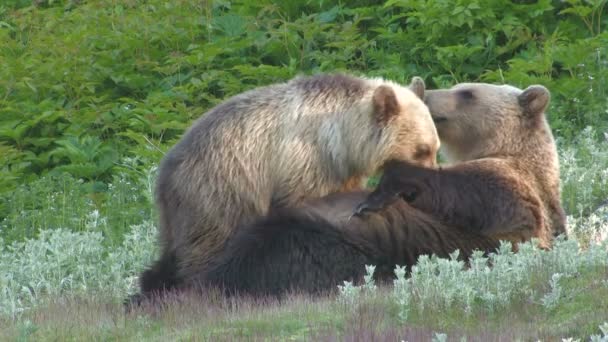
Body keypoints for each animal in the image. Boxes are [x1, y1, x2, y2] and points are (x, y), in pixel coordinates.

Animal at [140, 73, 440, 296]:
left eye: (435, 148)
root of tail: (165, 173)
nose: (431, 180)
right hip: (220, 191)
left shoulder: (341, 173)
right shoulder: (305, 163)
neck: (342, 141)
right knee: (208, 246)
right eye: (421, 150)